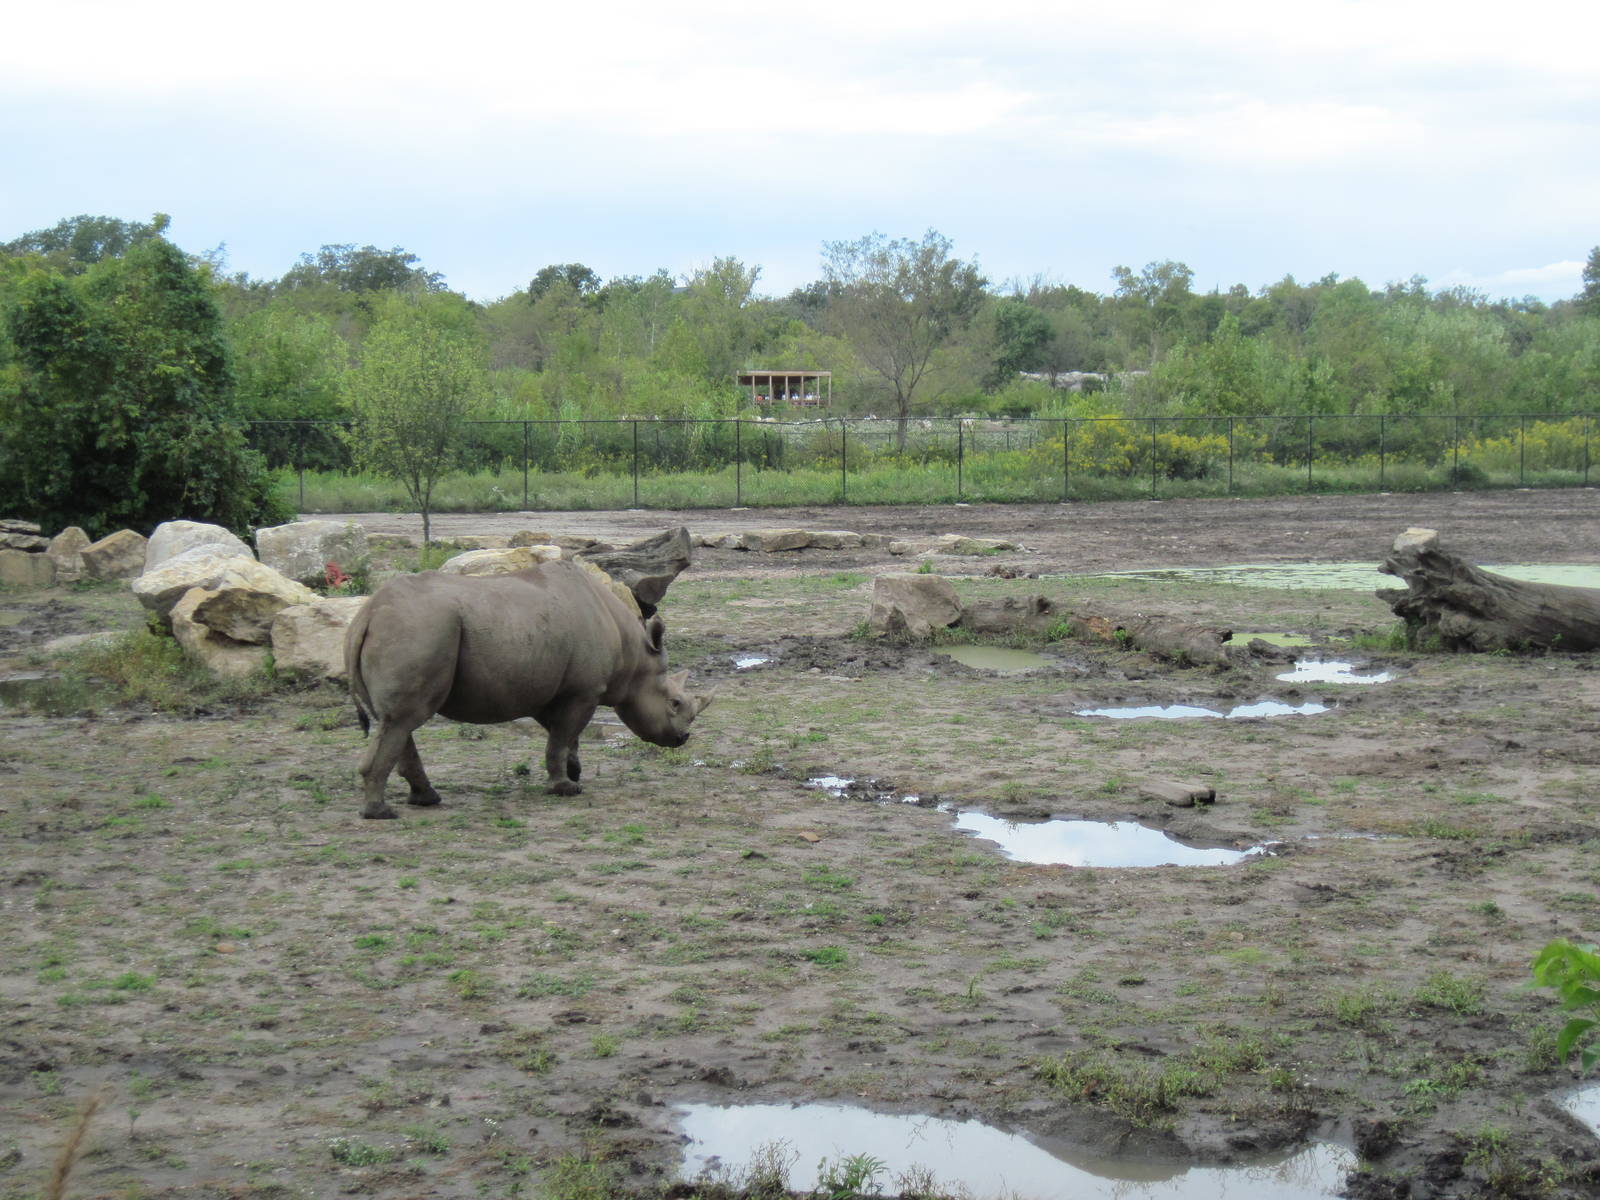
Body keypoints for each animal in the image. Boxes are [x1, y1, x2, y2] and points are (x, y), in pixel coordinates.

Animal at [344, 559, 711, 819]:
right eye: (675, 703)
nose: (683, 739)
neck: (634, 656)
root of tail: (368, 614)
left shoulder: (549, 690)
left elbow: (563, 736)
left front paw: (574, 772)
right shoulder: (584, 690)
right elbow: (561, 738)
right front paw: (565, 789)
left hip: (408, 629)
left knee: (394, 721)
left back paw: (425, 799)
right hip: (419, 629)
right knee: (404, 719)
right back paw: (381, 813)